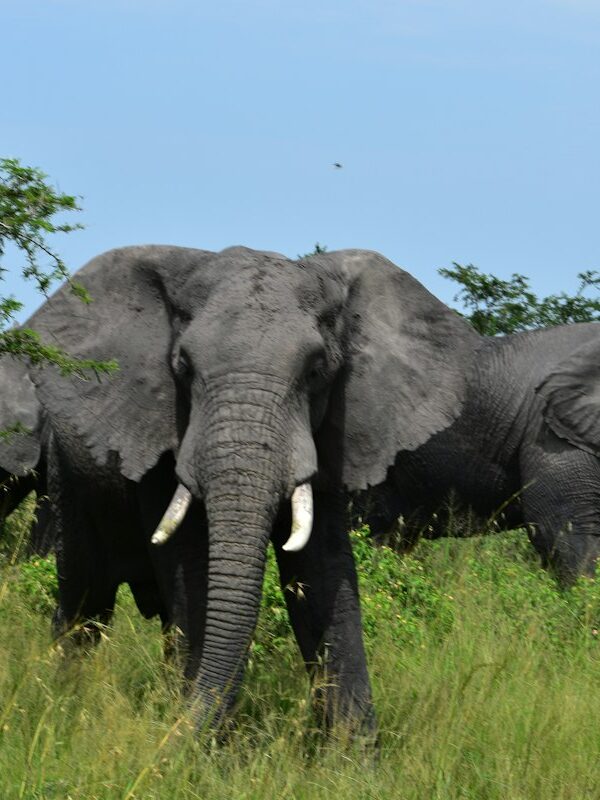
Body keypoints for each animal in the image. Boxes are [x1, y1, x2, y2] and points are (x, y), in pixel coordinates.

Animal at [27, 244, 478, 733]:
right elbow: (192, 563)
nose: (179, 734)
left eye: (317, 370)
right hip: (66, 473)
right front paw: (200, 743)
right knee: (85, 600)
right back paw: (62, 700)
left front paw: (355, 750)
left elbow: (323, 570)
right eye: (183, 367)